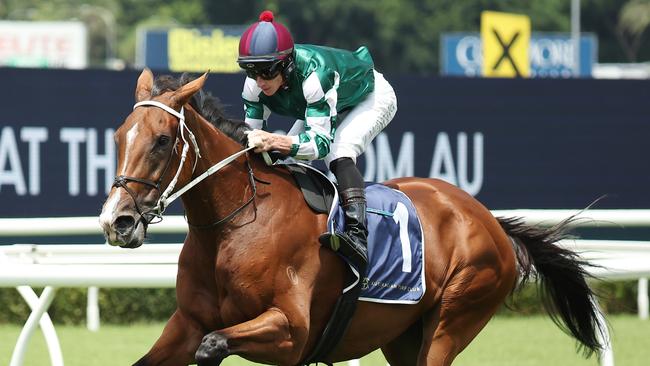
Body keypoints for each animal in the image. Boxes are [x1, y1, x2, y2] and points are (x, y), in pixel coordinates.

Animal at [98, 69, 604, 366]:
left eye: (163, 140)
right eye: (120, 135)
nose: (115, 222)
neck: (235, 227)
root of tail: (489, 220)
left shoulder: (291, 331)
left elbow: (214, 345)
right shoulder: (187, 324)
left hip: (453, 319)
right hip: (402, 335)